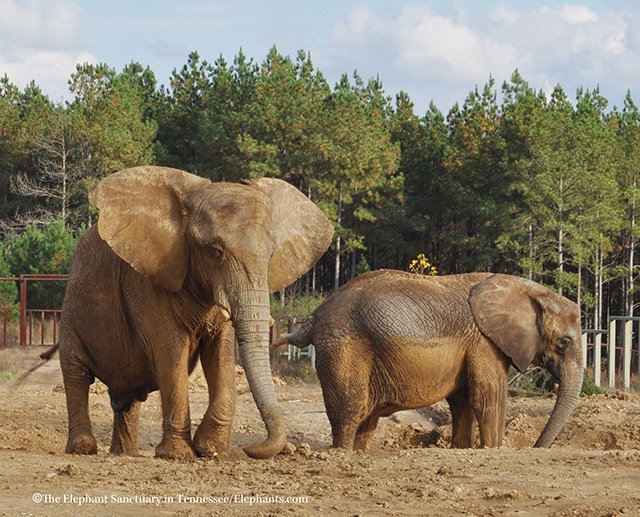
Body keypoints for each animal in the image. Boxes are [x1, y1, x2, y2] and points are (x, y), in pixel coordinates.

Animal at [57, 163, 332, 458]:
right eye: (216, 251)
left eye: (270, 256)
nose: (250, 448)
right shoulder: (146, 280)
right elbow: (170, 351)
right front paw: (178, 454)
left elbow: (221, 352)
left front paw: (210, 449)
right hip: (71, 308)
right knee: (75, 373)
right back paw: (83, 447)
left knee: (128, 399)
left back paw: (126, 453)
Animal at [272, 268, 584, 450]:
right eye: (564, 343)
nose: (535, 447)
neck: (528, 289)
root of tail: (313, 317)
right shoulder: (483, 342)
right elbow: (488, 395)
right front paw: (493, 449)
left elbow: (463, 400)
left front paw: (462, 449)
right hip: (343, 348)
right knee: (351, 410)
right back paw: (343, 454)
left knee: (367, 418)